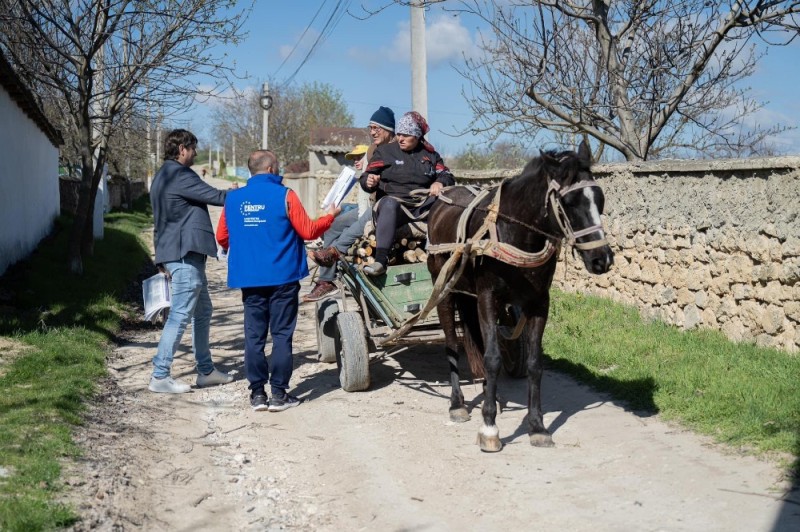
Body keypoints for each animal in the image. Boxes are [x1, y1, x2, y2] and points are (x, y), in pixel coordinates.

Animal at [428, 139, 616, 450]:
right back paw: (458, 403)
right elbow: (492, 358)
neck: (514, 231)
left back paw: (492, 397)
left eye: (599, 199)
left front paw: (537, 426)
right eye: (569, 203)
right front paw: (489, 427)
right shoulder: (488, 297)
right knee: (452, 343)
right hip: (444, 289)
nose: (602, 259)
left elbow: (534, 363)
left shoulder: (539, 302)